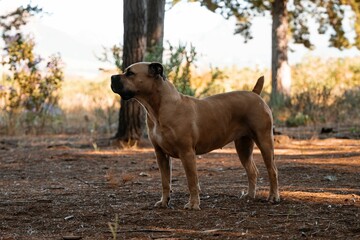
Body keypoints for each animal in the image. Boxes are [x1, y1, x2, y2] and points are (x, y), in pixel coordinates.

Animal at [111, 62, 280, 210]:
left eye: (130, 73)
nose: (112, 77)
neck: (158, 107)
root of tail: (255, 93)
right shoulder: (161, 154)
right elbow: (165, 182)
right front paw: (164, 202)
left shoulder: (187, 153)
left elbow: (192, 181)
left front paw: (193, 204)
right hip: (243, 146)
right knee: (252, 171)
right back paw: (250, 196)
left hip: (264, 141)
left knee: (272, 170)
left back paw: (273, 197)